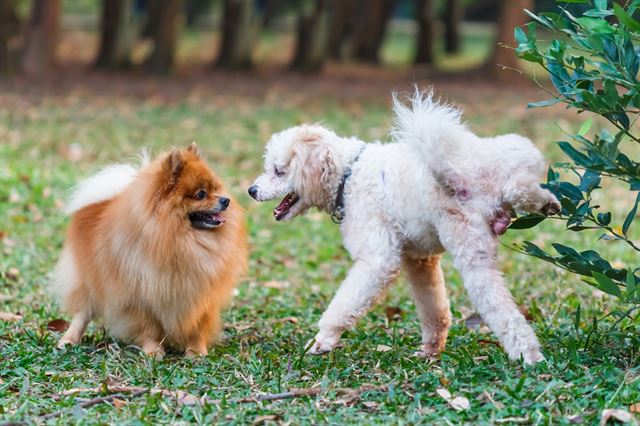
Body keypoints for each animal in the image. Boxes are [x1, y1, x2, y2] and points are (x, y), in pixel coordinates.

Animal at [52, 145, 248, 358]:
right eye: (201, 194)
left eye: (216, 189)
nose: (226, 200)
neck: (183, 242)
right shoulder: (139, 296)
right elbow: (150, 327)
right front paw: (153, 351)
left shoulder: (202, 297)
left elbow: (197, 327)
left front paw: (196, 352)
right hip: (86, 282)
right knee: (82, 313)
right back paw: (69, 340)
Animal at [248, 89, 556, 362]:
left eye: (278, 171)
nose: (251, 190)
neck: (348, 175)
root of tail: (456, 173)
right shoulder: (420, 261)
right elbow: (434, 308)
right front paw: (431, 350)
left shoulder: (378, 259)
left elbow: (345, 304)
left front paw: (322, 340)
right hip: (507, 160)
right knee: (521, 185)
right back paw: (548, 203)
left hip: (471, 254)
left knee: (501, 308)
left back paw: (529, 356)